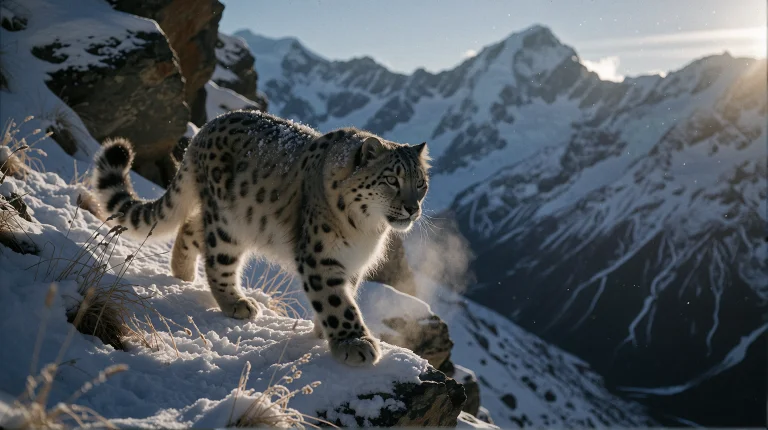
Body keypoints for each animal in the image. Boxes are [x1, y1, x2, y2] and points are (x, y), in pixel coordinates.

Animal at [91, 109, 430, 367]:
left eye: (421, 183)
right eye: (391, 179)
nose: (413, 208)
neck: (366, 230)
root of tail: (205, 129)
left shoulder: (353, 264)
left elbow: (341, 296)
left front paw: (325, 332)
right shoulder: (321, 257)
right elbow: (336, 301)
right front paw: (354, 341)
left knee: (189, 227)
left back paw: (183, 275)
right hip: (228, 224)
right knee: (217, 259)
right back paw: (235, 302)